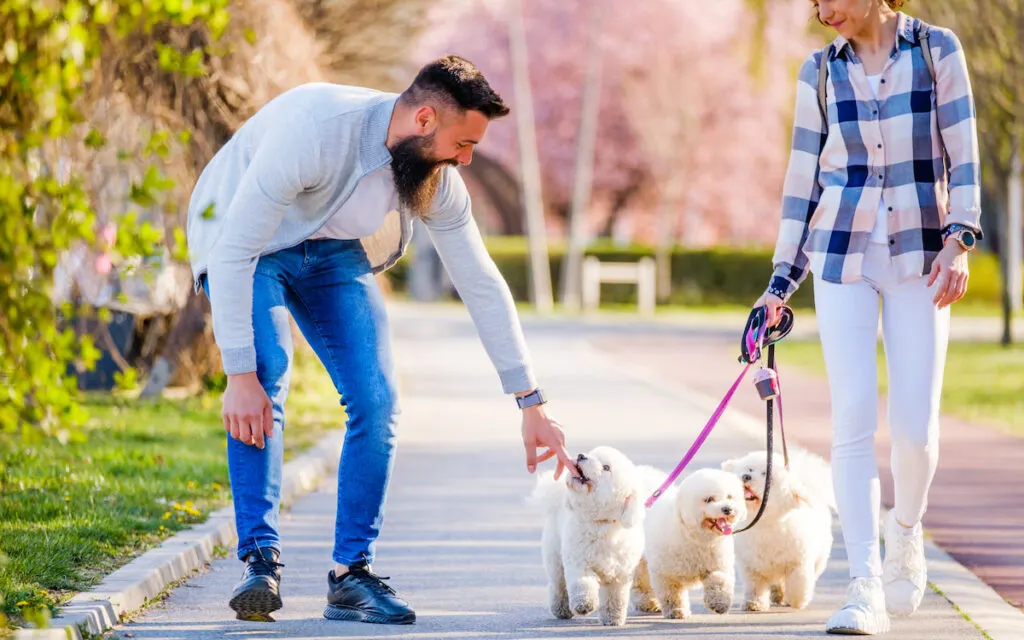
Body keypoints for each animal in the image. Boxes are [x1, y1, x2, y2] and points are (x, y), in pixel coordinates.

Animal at [532, 444, 643, 622]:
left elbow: (615, 597)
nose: (581, 456)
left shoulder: (620, 574)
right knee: (558, 584)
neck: (600, 523)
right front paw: (584, 604)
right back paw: (561, 609)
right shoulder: (579, 562)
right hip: (554, 557)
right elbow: (582, 584)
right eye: (591, 454)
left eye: (606, 467)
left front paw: (613, 617)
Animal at [630, 466, 745, 618]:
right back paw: (646, 603)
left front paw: (720, 602)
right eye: (708, 499)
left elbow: (719, 580)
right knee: (640, 583)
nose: (727, 509)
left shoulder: (718, 563)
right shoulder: (666, 573)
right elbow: (672, 594)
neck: (695, 537)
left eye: (730, 497)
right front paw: (676, 610)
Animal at [724, 446, 835, 610]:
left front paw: (797, 600)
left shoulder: (797, 562)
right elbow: (755, 587)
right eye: (749, 469)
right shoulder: (752, 565)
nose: (746, 477)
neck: (766, 523)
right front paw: (754, 603)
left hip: (819, 558)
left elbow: (798, 584)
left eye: (766, 475)